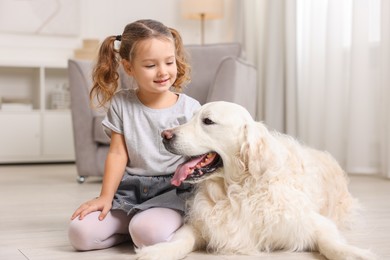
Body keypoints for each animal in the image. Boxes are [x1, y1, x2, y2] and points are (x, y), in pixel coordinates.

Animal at [136, 101, 374, 260]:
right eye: (192, 117)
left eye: (208, 121)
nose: (165, 135)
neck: (237, 189)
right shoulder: (201, 223)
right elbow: (180, 239)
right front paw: (157, 251)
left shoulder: (310, 222)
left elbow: (330, 243)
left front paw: (354, 253)